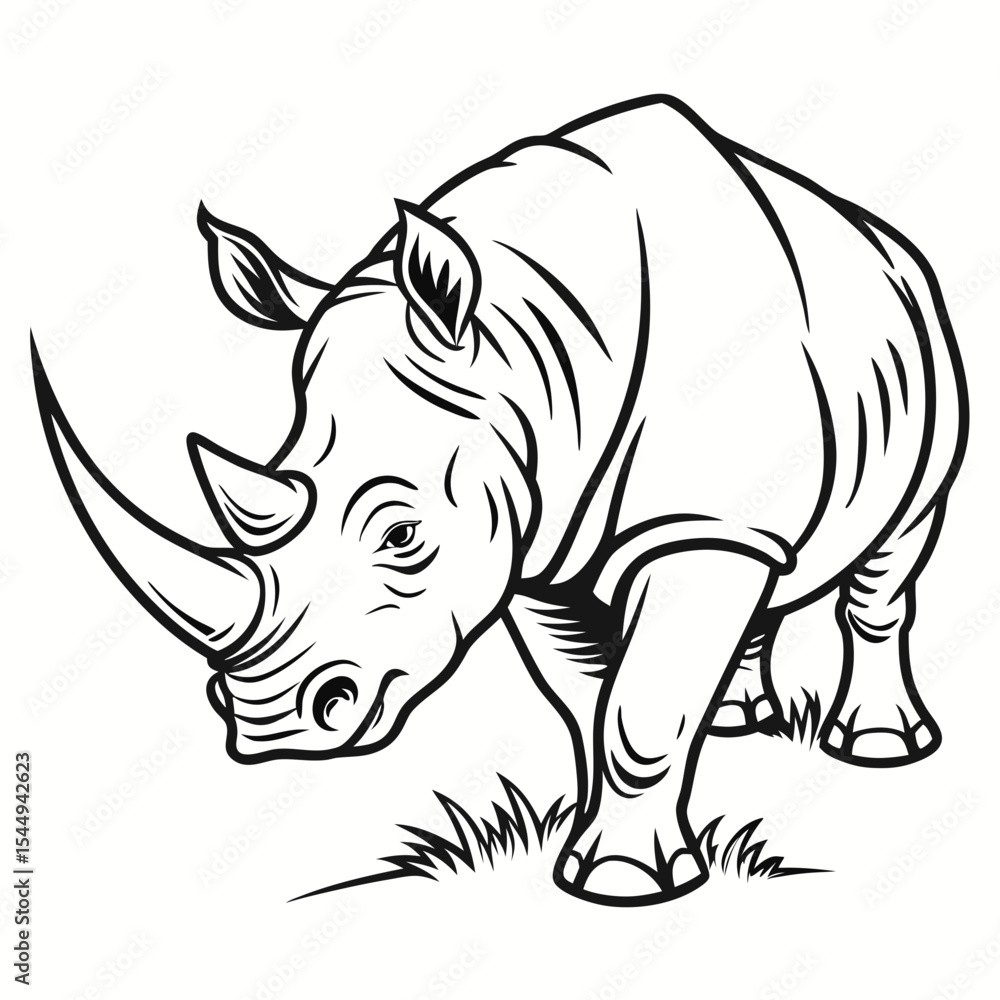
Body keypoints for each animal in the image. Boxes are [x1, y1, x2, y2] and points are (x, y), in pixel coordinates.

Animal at [34, 95, 968, 906]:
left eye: (402, 534)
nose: (271, 729)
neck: (535, 345)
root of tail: (886, 238)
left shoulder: (690, 525)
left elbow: (641, 711)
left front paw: (625, 885)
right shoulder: (537, 540)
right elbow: (593, 698)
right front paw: (594, 852)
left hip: (929, 349)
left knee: (889, 553)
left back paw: (881, 747)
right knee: (774, 569)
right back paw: (739, 721)